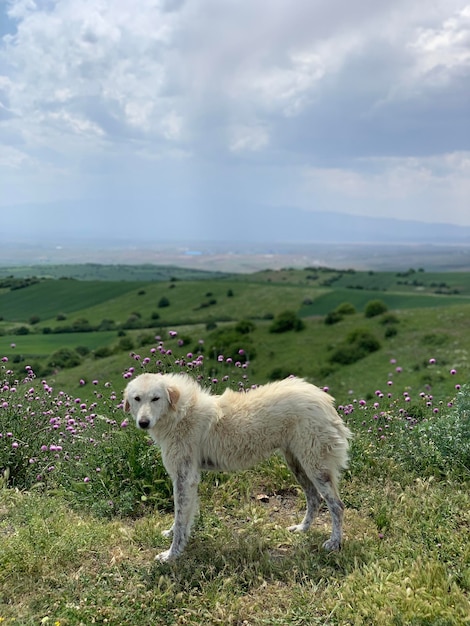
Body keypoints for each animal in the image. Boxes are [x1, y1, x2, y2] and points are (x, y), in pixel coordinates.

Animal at [123, 370, 350, 560]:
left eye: (155, 398)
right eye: (137, 399)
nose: (143, 422)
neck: (180, 412)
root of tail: (323, 399)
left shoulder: (184, 478)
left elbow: (180, 519)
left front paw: (172, 554)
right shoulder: (187, 479)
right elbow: (183, 516)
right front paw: (171, 536)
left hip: (316, 467)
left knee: (336, 506)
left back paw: (334, 543)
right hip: (297, 464)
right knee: (314, 498)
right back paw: (303, 529)